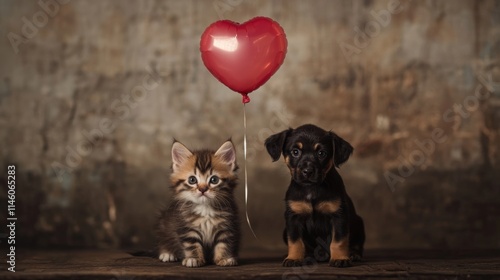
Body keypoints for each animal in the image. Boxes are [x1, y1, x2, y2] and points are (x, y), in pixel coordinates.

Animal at [264, 124, 366, 266]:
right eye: (295, 152)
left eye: (321, 153)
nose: (308, 171)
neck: (311, 189)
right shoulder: (293, 217)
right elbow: (295, 241)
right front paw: (294, 258)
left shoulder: (339, 216)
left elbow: (339, 241)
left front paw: (340, 258)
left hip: (359, 223)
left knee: (356, 244)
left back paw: (353, 254)